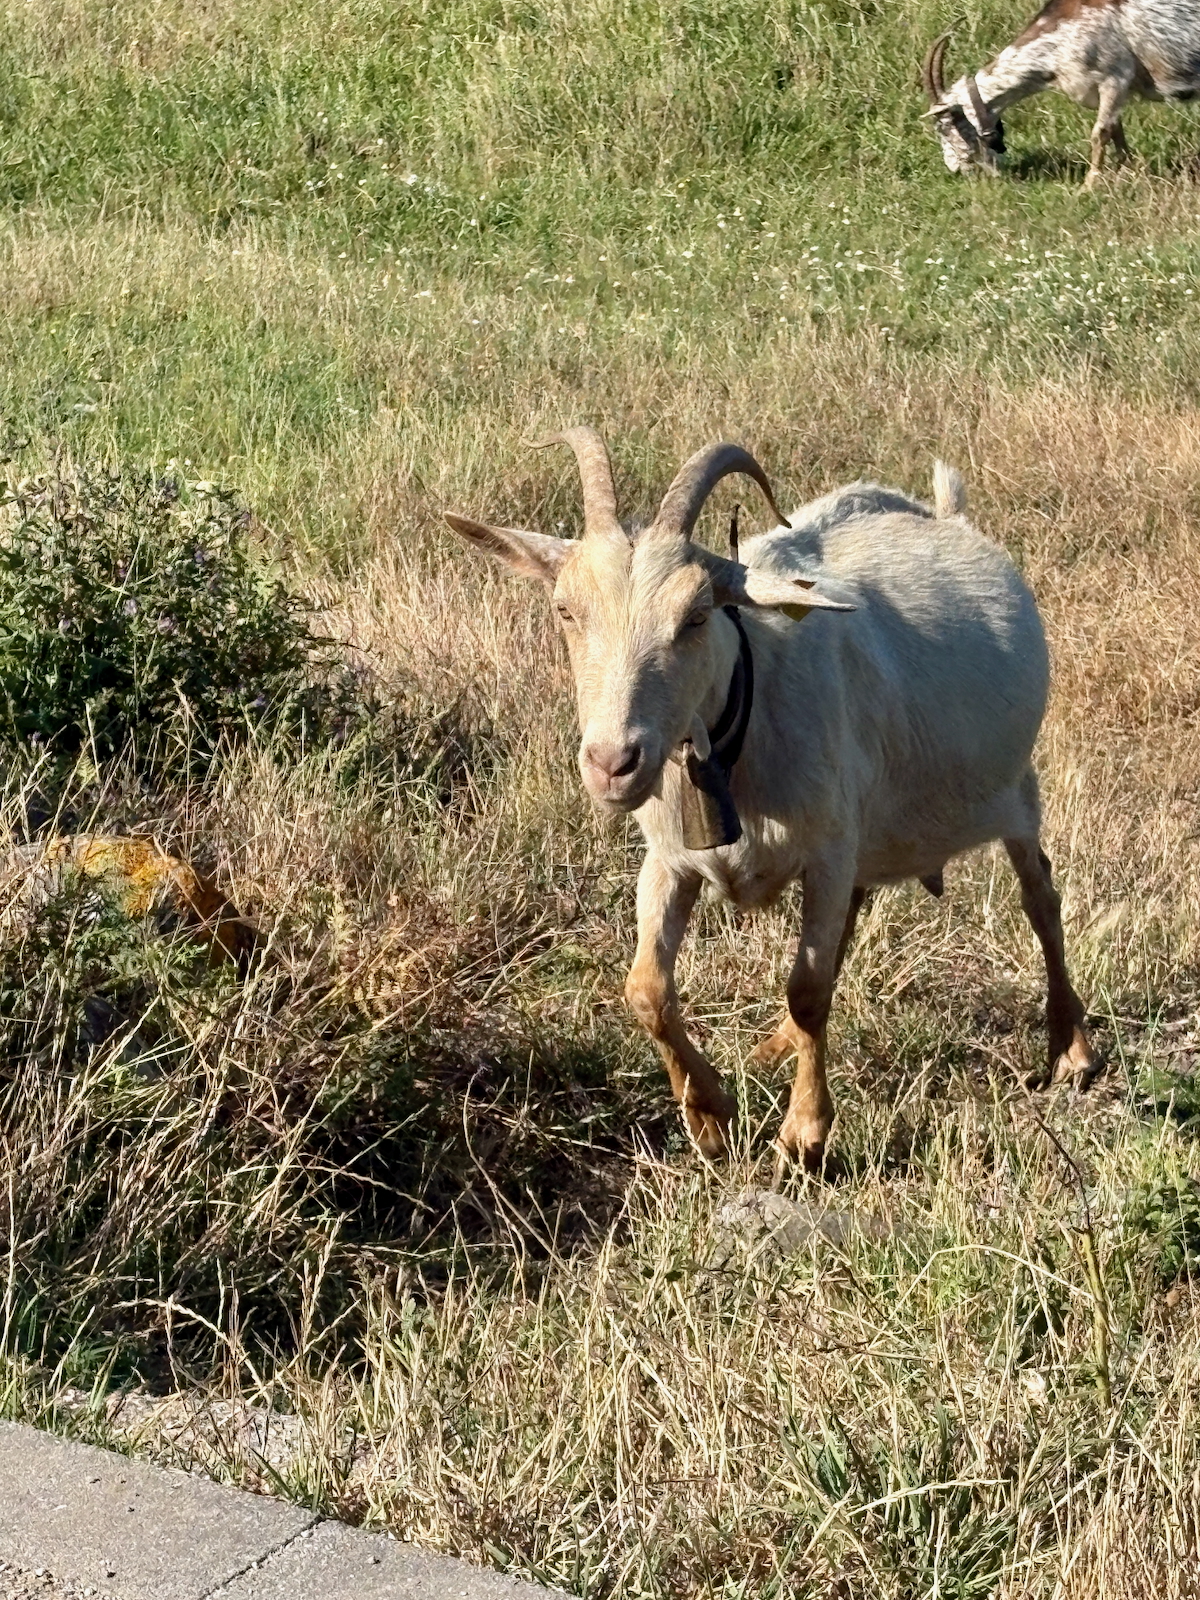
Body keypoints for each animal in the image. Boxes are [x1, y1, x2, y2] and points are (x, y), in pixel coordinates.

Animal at [446, 430, 1094, 1171]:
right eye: (565, 610)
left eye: (696, 615)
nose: (613, 763)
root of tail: (944, 512)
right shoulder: (669, 860)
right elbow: (646, 988)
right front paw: (709, 1113)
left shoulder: (828, 851)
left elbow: (809, 990)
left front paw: (805, 1133)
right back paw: (770, 1047)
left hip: (1013, 791)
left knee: (1041, 898)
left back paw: (1071, 1048)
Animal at [922, 2, 1200, 187]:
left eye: (945, 128)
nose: (956, 170)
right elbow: (1116, 130)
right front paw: (1128, 169)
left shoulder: (1115, 76)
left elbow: (1100, 132)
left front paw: (1089, 186)